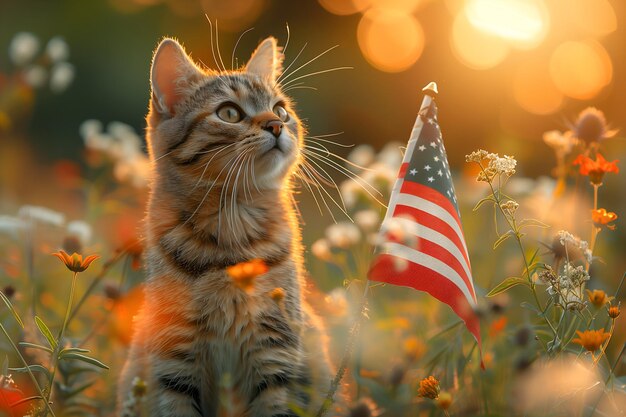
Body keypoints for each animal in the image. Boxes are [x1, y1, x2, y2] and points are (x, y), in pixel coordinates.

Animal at [117, 36, 342, 416]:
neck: (231, 226)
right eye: (229, 113)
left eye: (280, 109)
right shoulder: (174, 360)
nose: (276, 125)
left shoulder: (276, 354)